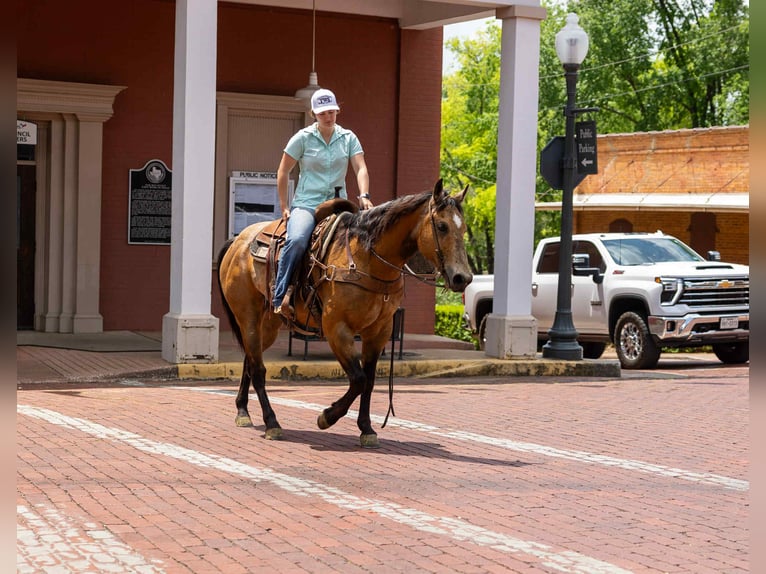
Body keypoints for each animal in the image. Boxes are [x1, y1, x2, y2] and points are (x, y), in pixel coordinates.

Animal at [216, 179, 473, 448]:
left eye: (464, 228)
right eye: (442, 226)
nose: (463, 278)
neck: (367, 258)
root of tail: (237, 242)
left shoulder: (379, 331)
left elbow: (369, 380)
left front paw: (367, 428)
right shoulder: (337, 329)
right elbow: (358, 378)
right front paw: (327, 417)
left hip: (268, 325)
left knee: (250, 360)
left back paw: (243, 411)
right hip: (248, 317)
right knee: (258, 369)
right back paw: (272, 423)